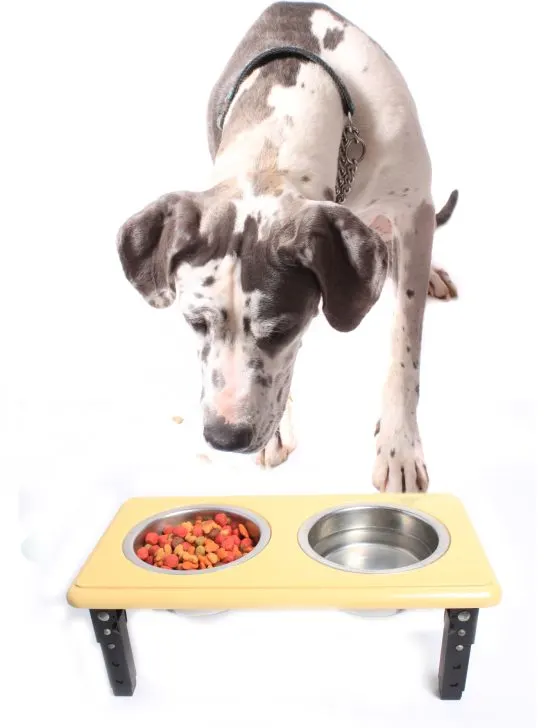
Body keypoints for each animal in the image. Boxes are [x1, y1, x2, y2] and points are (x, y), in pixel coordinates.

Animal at [117, 2, 456, 492]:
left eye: (282, 330)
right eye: (195, 323)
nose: (225, 437)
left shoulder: (413, 205)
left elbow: (404, 346)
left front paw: (400, 447)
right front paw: (276, 433)